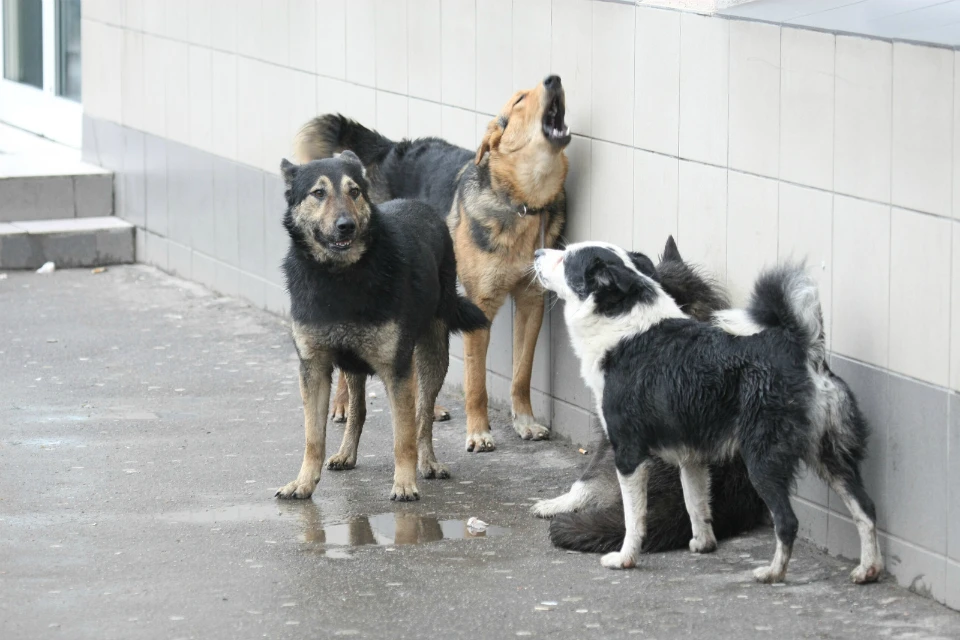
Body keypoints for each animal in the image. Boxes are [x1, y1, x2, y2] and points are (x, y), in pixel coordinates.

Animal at [276, 152, 488, 502]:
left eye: (354, 192)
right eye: (318, 193)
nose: (345, 225)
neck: (340, 277)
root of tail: (419, 204)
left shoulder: (396, 370)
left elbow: (403, 436)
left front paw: (404, 483)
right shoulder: (314, 369)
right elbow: (313, 437)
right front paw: (304, 482)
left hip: (432, 356)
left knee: (422, 415)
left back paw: (428, 462)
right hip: (353, 363)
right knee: (358, 409)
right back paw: (346, 453)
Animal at [294, 76, 568, 456]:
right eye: (519, 100)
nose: (554, 79)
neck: (522, 203)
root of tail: (390, 148)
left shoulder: (532, 302)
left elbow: (522, 374)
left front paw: (524, 422)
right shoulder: (481, 306)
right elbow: (476, 381)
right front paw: (478, 432)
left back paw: (427, 405)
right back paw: (343, 404)